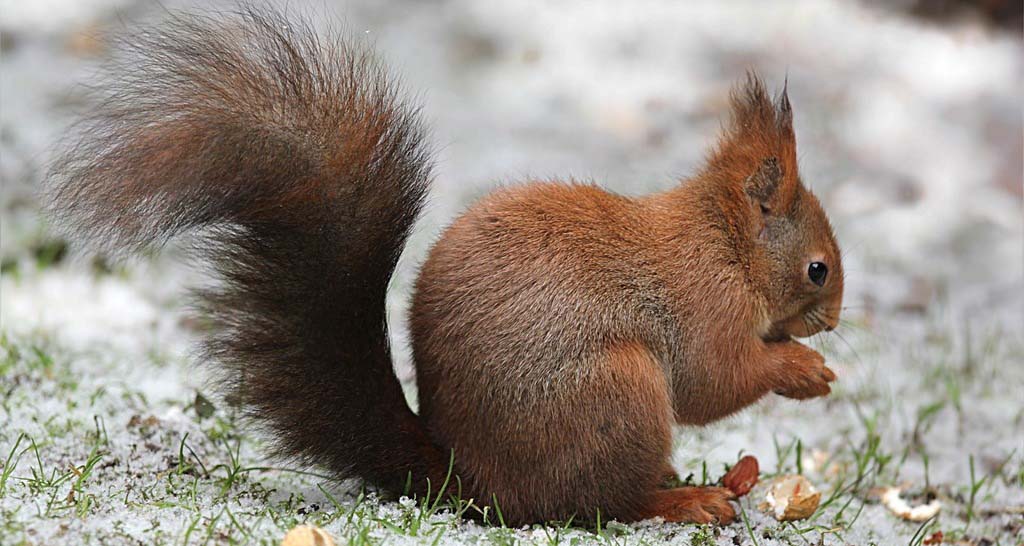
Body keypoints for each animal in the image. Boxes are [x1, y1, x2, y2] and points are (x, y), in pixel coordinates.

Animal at [46, 5, 839, 528]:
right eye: (818, 270)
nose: (832, 323)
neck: (725, 243)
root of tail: (471, 481)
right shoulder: (702, 302)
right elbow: (713, 380)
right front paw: (801, 370)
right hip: (614, 394)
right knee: (600, 504)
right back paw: (683, 497)